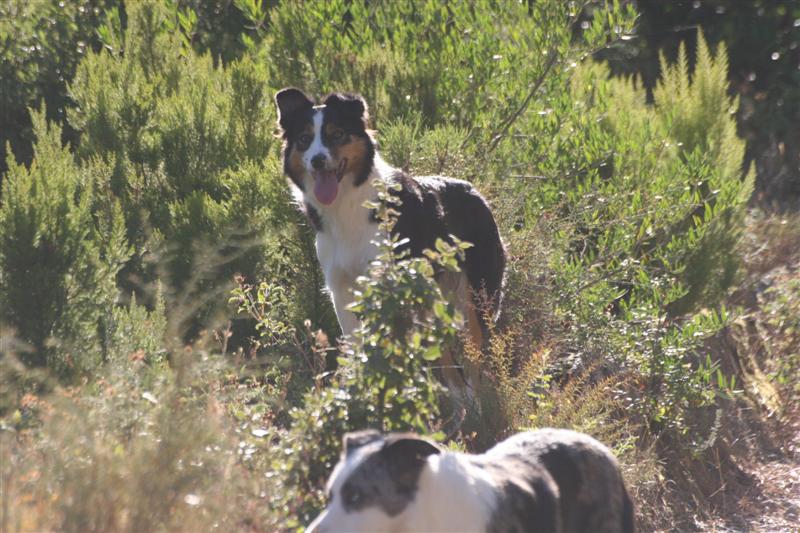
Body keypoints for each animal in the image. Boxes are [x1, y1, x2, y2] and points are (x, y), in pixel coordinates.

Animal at [274, 88, 506, 393]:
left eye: (337, 134)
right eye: (304, 139)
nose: (317, 160)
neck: (347, 205)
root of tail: (475, 191)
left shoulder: (385, 286)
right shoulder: (341, 288)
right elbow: (357, 344)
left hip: (478, 297)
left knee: (478, 357)